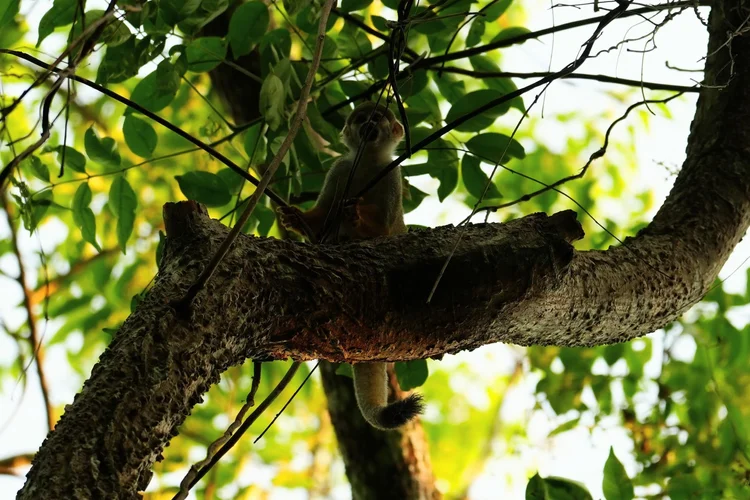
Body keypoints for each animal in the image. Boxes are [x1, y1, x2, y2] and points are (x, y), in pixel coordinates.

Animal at [277, 101, 424, 430]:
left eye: (378, 118)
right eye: (360, 119)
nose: (368, 124)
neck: (367, 162)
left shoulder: (392, 177)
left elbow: (381, 226)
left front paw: (355, 218)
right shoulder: (340, 169)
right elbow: (322, 215)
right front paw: (298, 219)